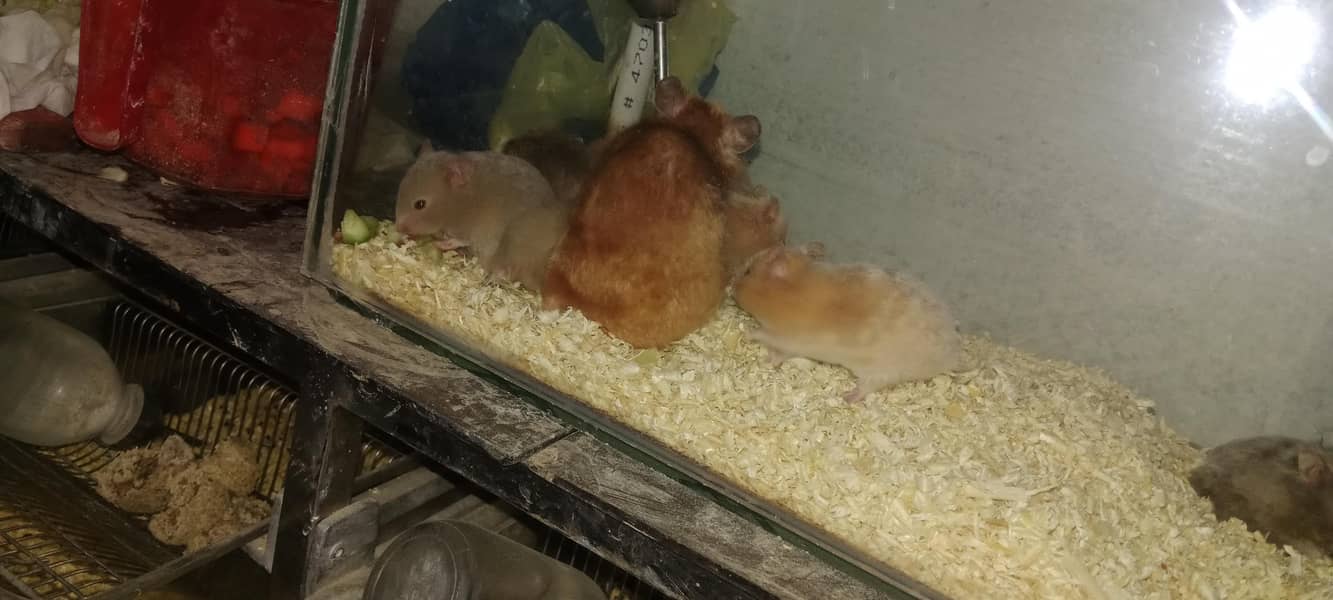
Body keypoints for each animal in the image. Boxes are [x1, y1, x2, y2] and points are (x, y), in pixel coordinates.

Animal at [394, 145, 562, 283]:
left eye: (420, 204)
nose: (398, 228)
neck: (462, 201)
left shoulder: (472, 230)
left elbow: (460, 240)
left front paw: (440, 244)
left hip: (512, 244)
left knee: (504, 272)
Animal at [733, 244, 962, 402]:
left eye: (747, 272)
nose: (731, 288)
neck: (790, 294)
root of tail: (950, 357)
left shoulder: (785, 339)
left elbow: (767, 342)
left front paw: (750, 338)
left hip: (879, 371)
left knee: (867, 388)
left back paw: (847, 397)